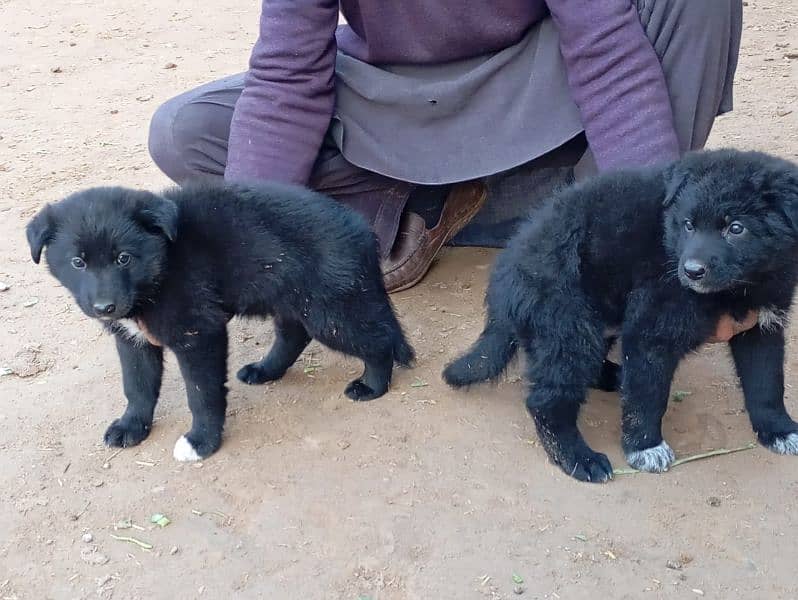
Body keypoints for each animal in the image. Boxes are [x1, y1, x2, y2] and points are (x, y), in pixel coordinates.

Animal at [28, 182, 416, 460]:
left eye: (124, 258)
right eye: (78, 262)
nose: (105, 308)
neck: (162, 267)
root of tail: (361, 228)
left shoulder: (199, 333)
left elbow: (202, 394)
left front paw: (201, 442)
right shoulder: (133, 340)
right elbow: (137, 386)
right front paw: (132, 425)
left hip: (332, 311)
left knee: (377, 341)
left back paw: (372, 386)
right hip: (292, 297)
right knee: (293, 334)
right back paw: (265, 370)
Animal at [444, 149, 798, 482]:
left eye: (736, 228)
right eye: (688, 224)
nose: (691, 271)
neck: (741, 287)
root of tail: (506, 269)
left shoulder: (762, 326)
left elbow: (767, 383)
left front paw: (779, 429)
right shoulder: (651, 331)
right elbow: (646, 397)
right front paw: (645, 447)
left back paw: (614, 376)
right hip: (566, 326)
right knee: (546, 401)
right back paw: (579, 458)